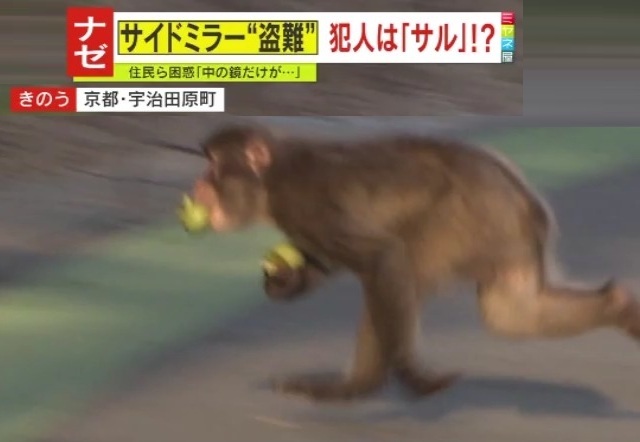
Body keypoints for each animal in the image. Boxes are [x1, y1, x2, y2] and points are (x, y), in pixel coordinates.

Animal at [190, 123, 640, 401]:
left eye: (214, 168)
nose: (199, 186)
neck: (271, 178)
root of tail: (523, 198)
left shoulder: (302, 200)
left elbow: (380, 256)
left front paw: (409, 373)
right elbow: (327, 262)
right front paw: (286, 281)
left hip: (469, 222)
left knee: (402, 266)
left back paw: (360, 386)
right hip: (506, 239)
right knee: (511, 313)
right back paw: (617, 305)